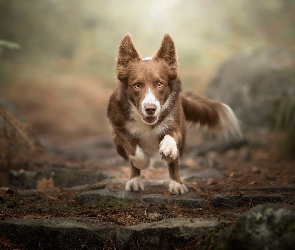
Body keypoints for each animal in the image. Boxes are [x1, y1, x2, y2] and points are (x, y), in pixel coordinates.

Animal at [107, 33, 242, 194]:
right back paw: (135, 180)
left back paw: (176, 183)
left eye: (160, 84)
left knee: (174, 162)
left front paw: (168, 148)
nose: (150, 109)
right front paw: (143, 161)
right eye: (137, 85)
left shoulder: (176, 124)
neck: (147, 123)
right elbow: (133, 150)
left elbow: (171, 137)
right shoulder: (117, 128)